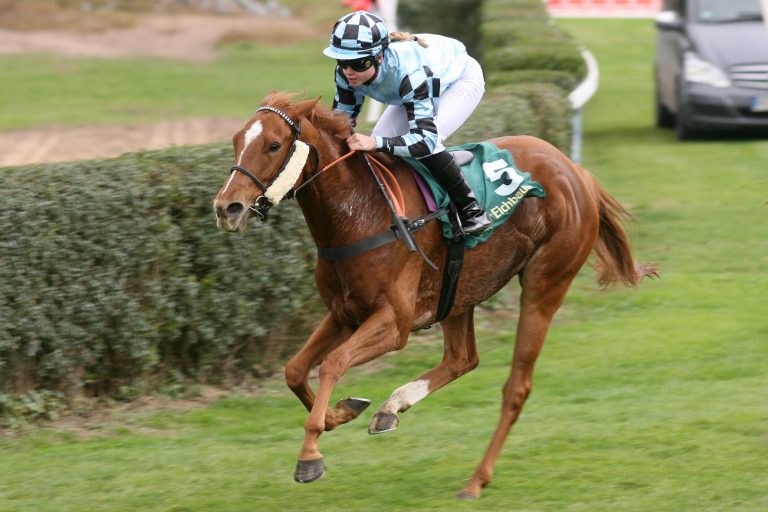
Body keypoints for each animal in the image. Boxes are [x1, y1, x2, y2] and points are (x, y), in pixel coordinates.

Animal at [213, 92, 657, 499]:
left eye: (273, 144)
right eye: (236, 140)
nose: (226, 207)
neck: (360, 213)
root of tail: (576, 171)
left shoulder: (394, 323)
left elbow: (333, 362)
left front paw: (310, 455)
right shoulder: (344, 314)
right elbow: (293, 369)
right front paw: (342, 412)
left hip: (544, 285)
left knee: (516, 386)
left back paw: (476, 480)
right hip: (459, 293)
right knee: (463, 359)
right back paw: (391, 408)